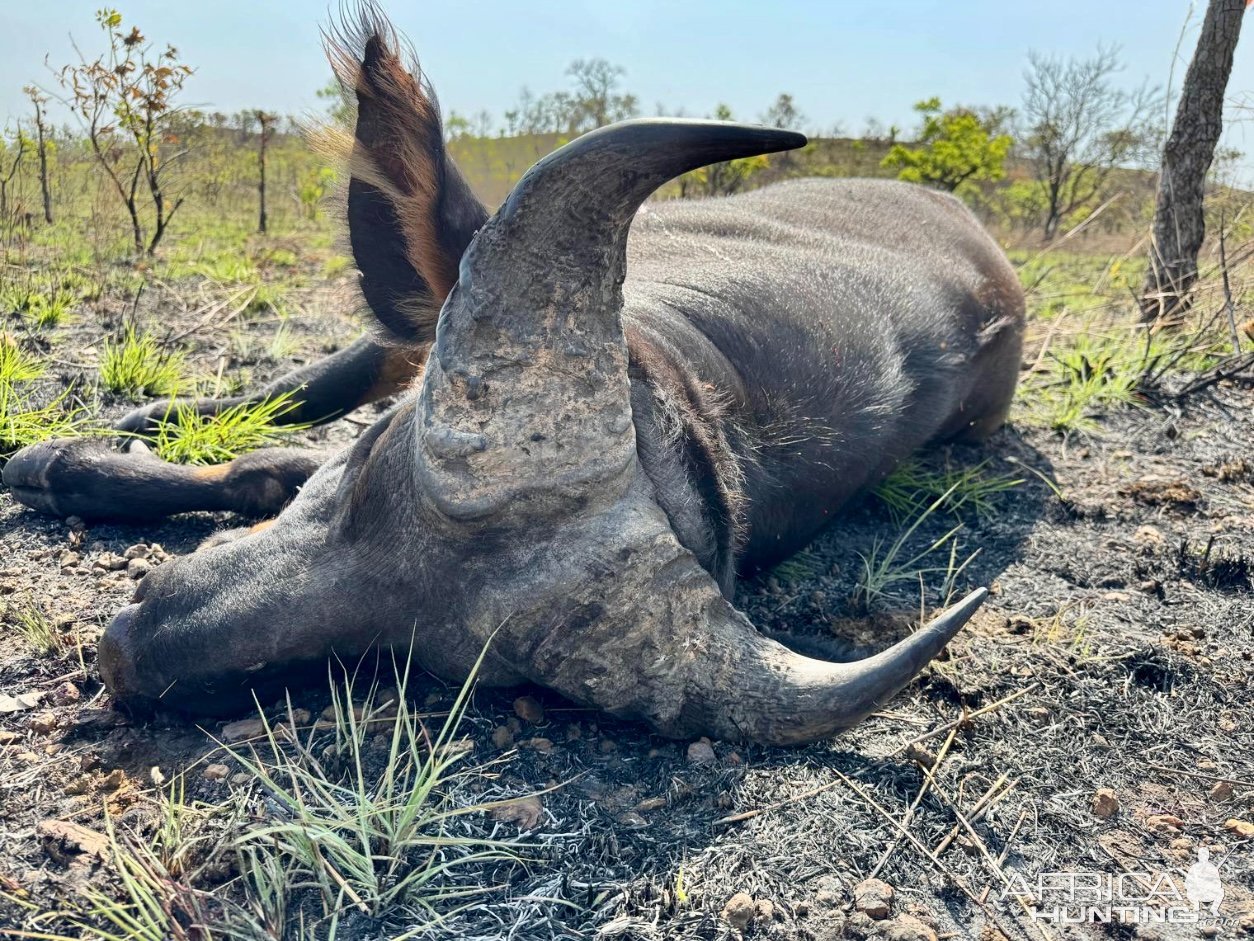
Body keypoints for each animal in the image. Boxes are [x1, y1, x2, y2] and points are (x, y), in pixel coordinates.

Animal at [4, 7, 1023, 742]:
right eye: (369, 470)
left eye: (406, 651)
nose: (127, 653)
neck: (708, 384)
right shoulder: (411, 331)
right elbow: (281, 428)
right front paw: (75, 453)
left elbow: (267, 472)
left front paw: (69, 465)